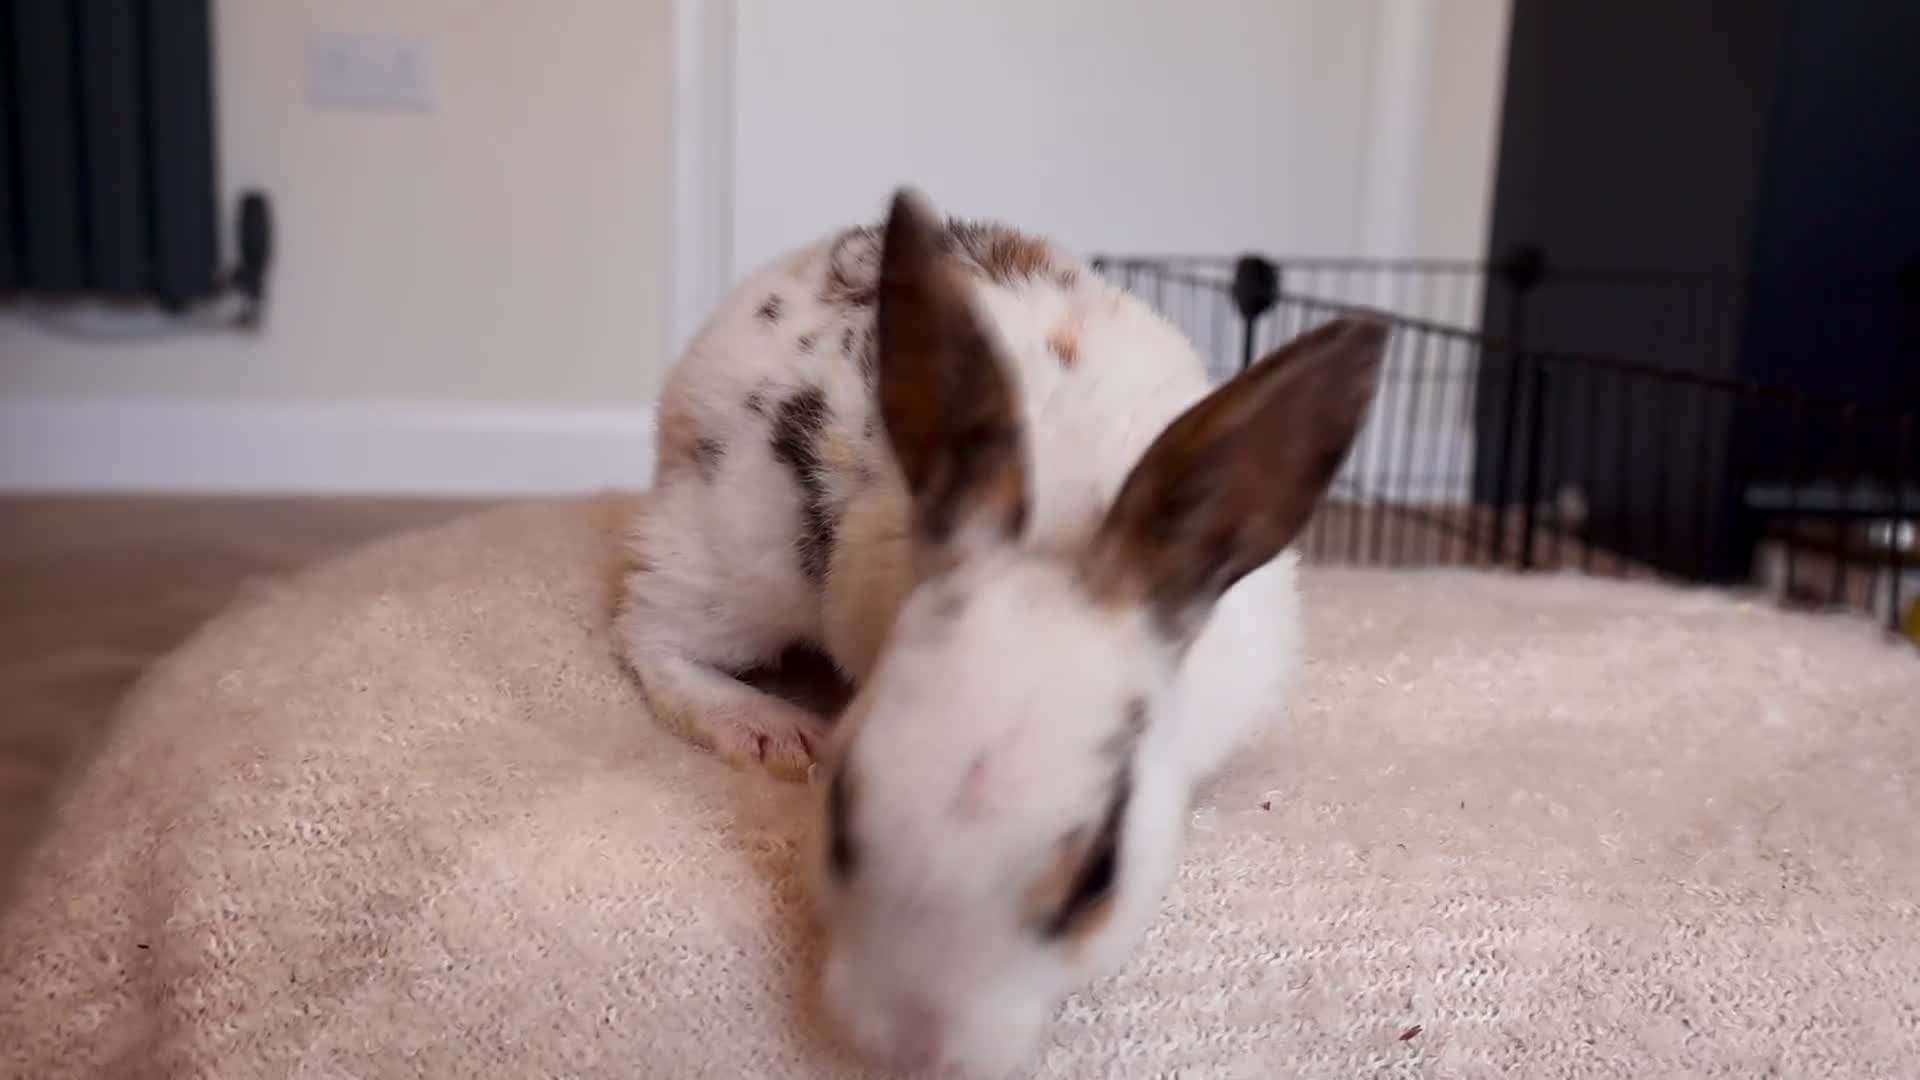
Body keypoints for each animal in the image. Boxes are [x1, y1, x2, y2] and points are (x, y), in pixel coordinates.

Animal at [616, 187, 1384, 1077]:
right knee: (648, 626)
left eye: (1097, 878)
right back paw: (768, 728)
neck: (1060, 534)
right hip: (742, 562)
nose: (914, 1047)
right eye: (838, 812)